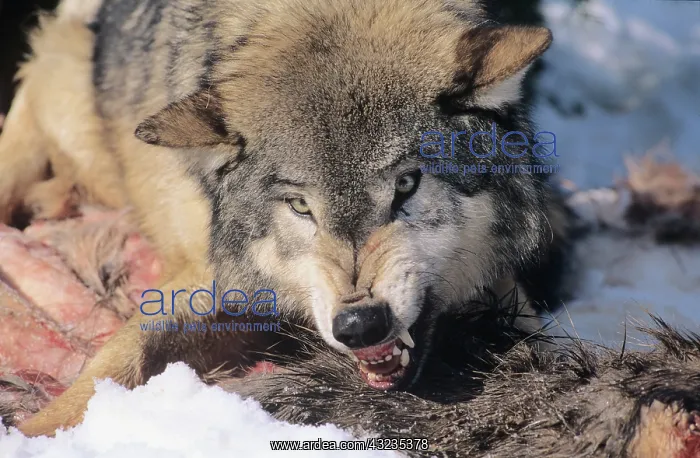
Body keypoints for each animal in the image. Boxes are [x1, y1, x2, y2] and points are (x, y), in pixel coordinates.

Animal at [0, 0, 576, 437]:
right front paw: (35, 433)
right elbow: (112, 362)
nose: (360, 325)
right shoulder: (200, 279)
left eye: (406, 185)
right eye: (301, 206)